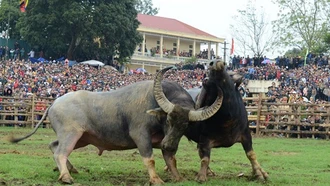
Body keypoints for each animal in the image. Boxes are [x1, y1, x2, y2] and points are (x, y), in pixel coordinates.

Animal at [9, 76, 223, 183]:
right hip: (71, 134)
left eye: (185, 125)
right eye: (168, 119)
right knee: (60, 152)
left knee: (53, 145)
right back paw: (66, 177)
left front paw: (177, 178)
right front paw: (156, 180)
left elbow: (171, 160)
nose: (169, 144)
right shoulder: (141, 135)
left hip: (82, 138)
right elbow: (150, 159)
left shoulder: (164, 140)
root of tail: (54, 103)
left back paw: (70, 169)